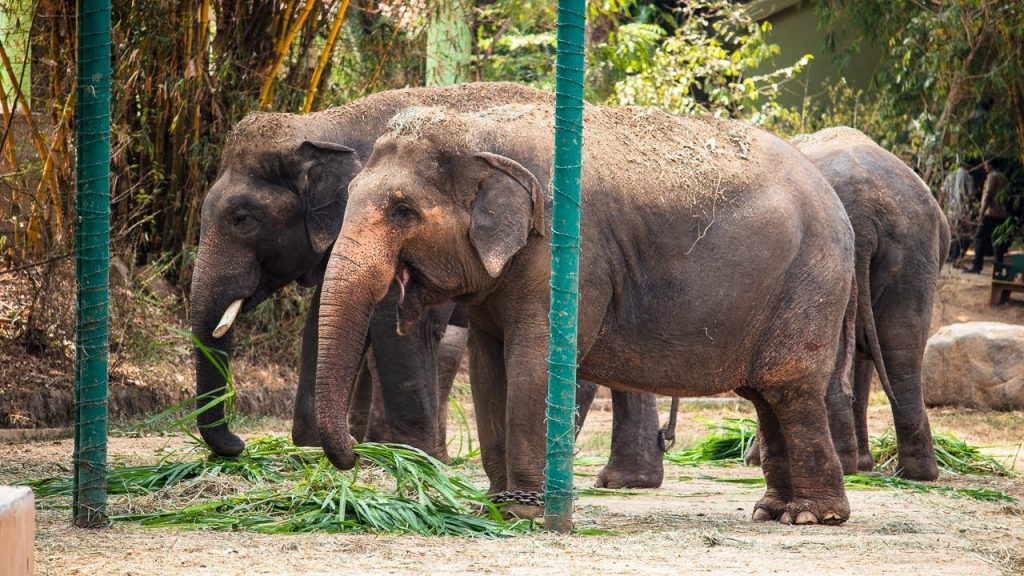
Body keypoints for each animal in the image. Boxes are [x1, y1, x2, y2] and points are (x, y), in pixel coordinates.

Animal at [188, 81, 552, 457]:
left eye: (242, 219)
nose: (239, 443)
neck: (323, 125)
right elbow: (320, 320)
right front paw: (318, 443)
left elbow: (396, 327)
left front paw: (407, 455)